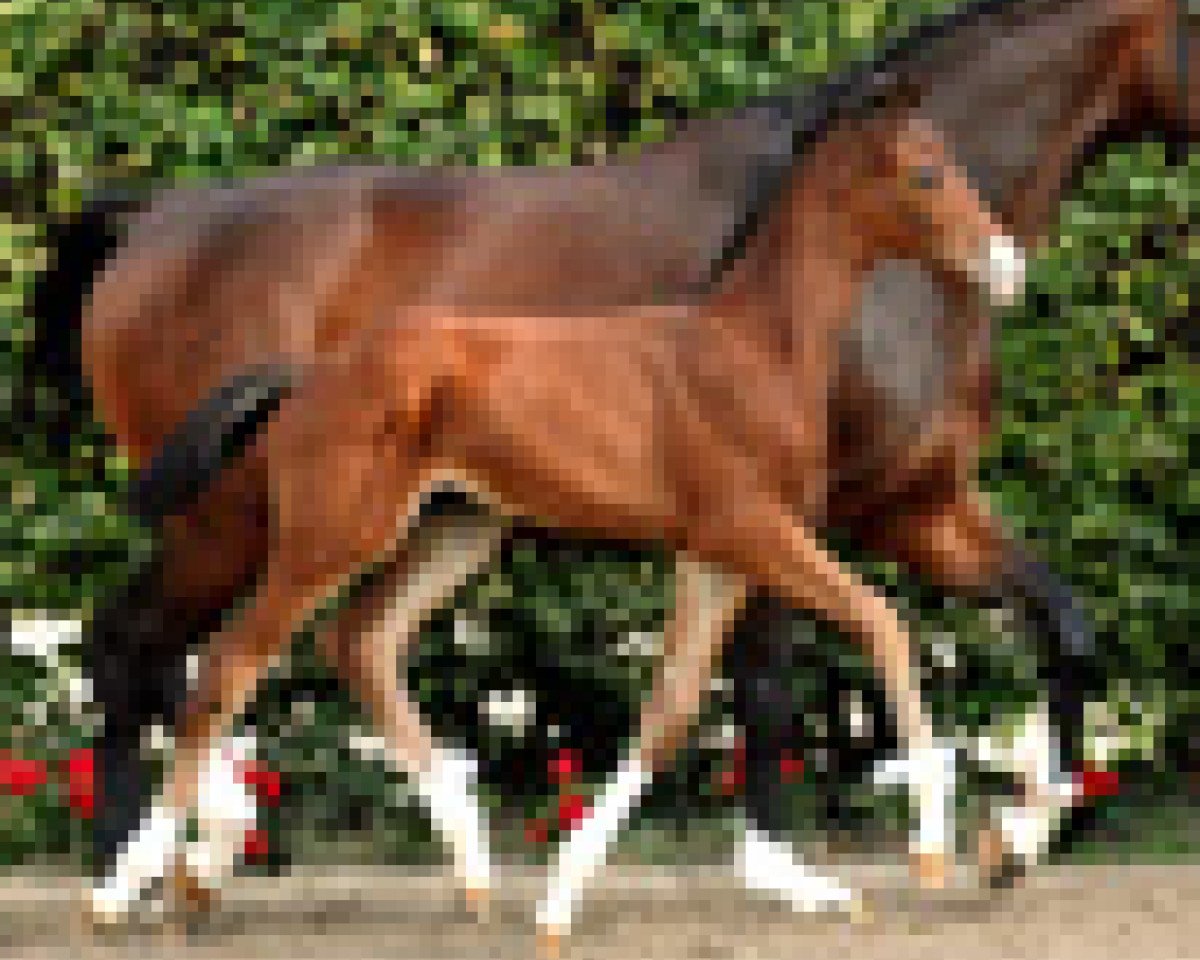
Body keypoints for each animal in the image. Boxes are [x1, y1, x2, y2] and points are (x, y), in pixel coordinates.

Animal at [19, 0, 1192, 934]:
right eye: (924, 170)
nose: (1004, 265)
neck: (759, 333)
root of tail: (155, 215)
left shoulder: (909, 506)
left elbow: (1059, 628)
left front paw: (1013, 840)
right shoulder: (793, 522)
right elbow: (798, 670)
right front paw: (839, 865)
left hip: (438, 526)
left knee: (307, 648)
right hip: (251, 522)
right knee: (168, 652)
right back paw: (145, 872)